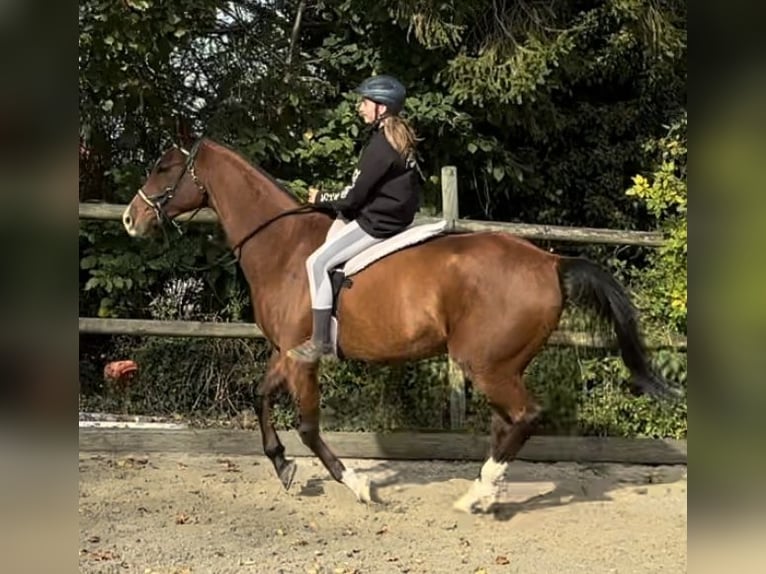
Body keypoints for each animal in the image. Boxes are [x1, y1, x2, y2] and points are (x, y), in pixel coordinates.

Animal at [121, 137, 680, 516]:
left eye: (164, 167)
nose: (130, 219)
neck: (282, 247)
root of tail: (550, 261)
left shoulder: (302, 359)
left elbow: (308, 427)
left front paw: (358, 484)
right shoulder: (286, 353)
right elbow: (260, 398)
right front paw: (282, 466)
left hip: (487, 365)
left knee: (524, 417)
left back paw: (478, 495)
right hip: (499, 366)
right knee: (509, 422)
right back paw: (484, 492)